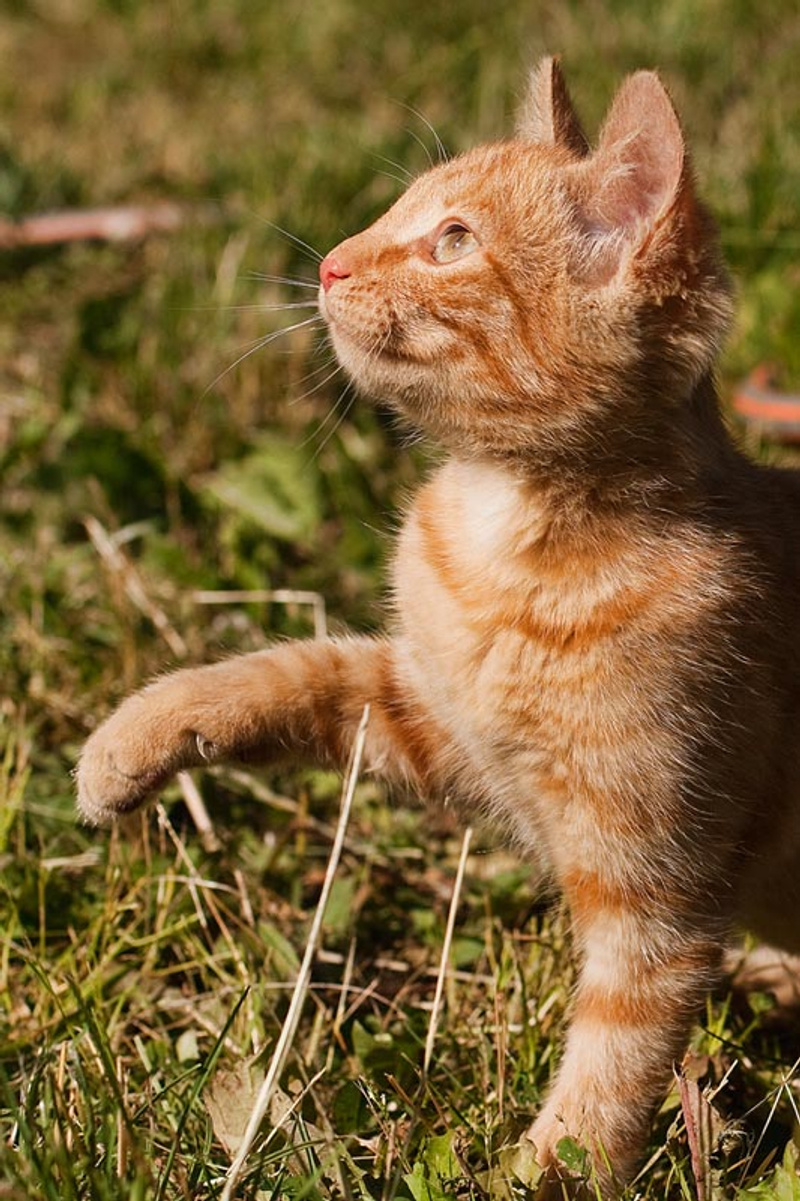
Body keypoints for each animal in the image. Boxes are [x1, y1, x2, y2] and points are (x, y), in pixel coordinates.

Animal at [77, 58, 800, 1196]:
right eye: (396, 211)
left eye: (451, 240)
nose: (329, 261)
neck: (508, 545)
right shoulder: (428, 714)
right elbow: (289, 673)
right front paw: (131, 741)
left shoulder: (656, 899)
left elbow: (610, 1065)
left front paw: (541, 1172)